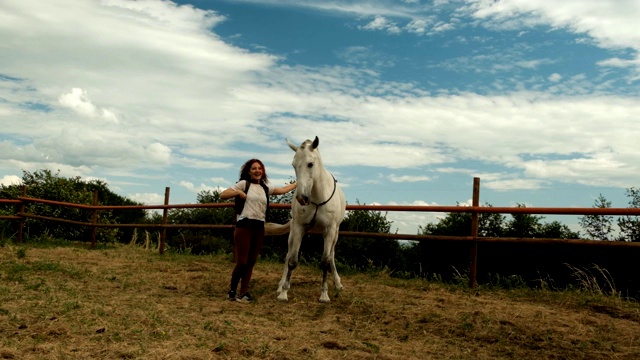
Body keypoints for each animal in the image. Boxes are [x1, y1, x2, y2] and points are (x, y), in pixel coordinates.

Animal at [264, 136, 344, 302]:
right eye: (294, 165)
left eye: (310, 164)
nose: (302, 198)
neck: (317, 197)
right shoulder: (299, 228)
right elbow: (292, 260)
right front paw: (283, 292)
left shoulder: (330, 231)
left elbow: (325, 262)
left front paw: (324, 294)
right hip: (293, 233)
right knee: (288, 255)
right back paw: (280, 285)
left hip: (335, 234)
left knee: (331, 256)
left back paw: (338, 284)